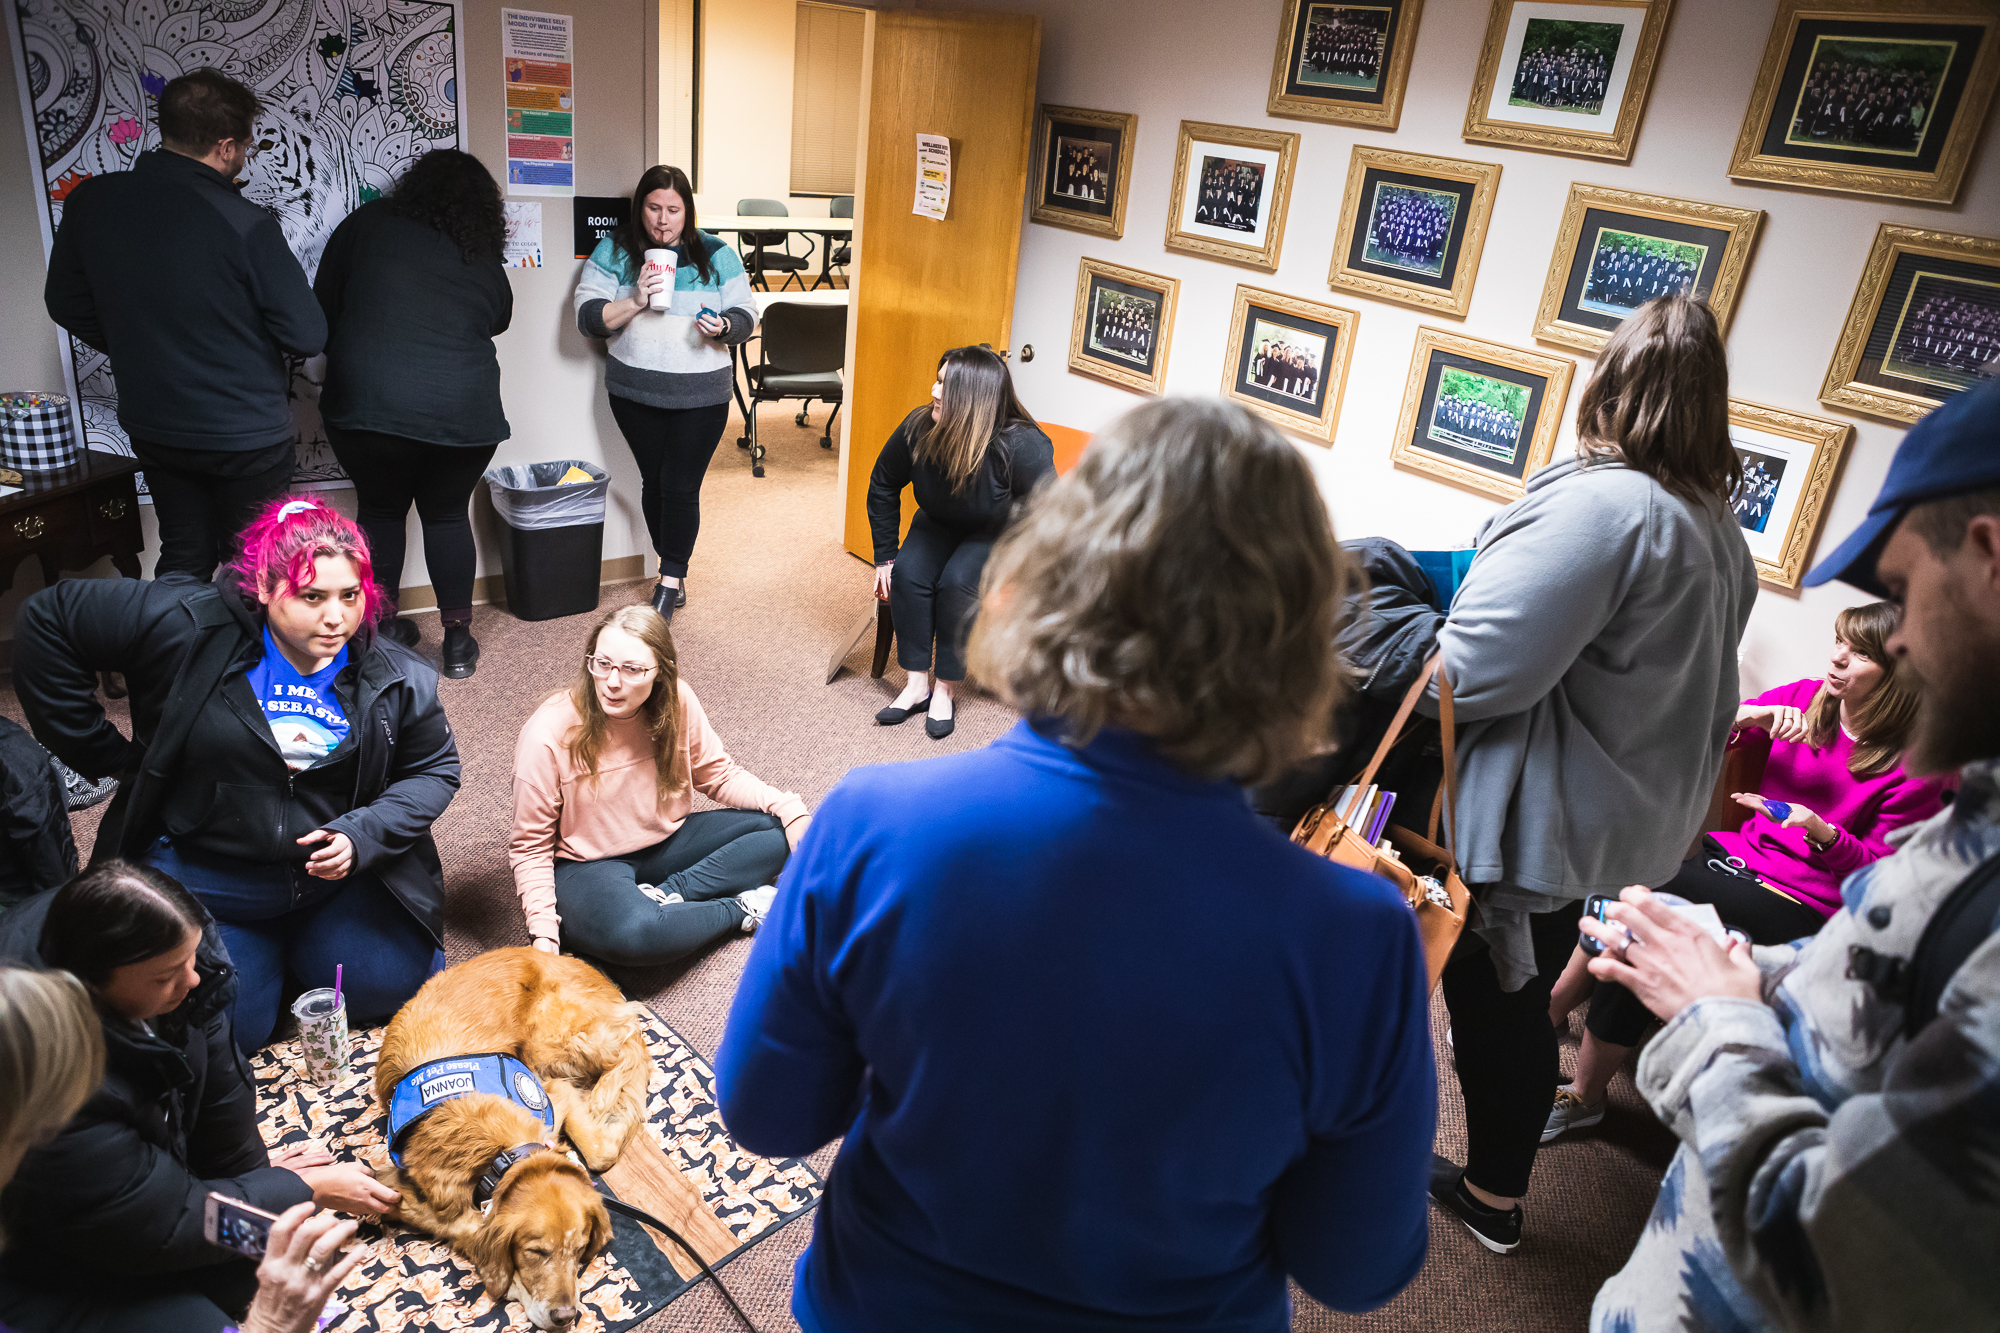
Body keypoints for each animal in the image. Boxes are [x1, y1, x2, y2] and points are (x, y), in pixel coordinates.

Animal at [374, 944, 648, 1328]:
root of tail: (582, 964)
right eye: (535, 1252)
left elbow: (599, 1150)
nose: (566, 1316)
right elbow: (456, 1223)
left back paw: (605, 1091)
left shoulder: (553, 1092)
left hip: (550, 1041)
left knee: (627, 1045)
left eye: (579, 1248)